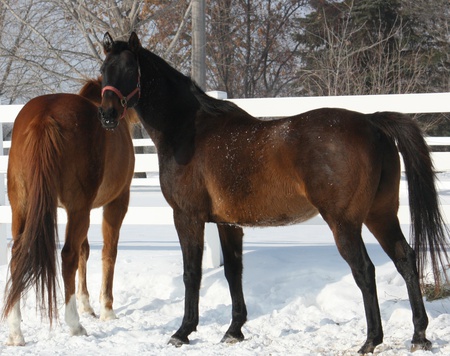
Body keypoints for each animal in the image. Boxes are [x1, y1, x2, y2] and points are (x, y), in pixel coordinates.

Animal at [2, 77, 136, 344]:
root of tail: (44, 116)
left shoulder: (81, 209)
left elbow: (86, 251)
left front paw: (87, 304)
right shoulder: (115, 202)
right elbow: (108, 252)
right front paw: (107, 309)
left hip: (22, 205)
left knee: (18, 255)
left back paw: (15, 330)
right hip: (79, 209)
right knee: (68, 256)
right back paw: (74, 325)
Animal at [99, 32, 450, 354]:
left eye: (129, 69)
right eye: (104, 70)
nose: (107, 114)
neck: (188, 131)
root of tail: (371, 121)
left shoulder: (188, 217)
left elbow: (192, 273)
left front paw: (183, 331)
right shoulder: (228, 223)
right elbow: (233, 271)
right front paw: (234, 330)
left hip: (345, 223)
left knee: (365, 270)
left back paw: (371, 340)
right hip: (381, 214)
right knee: (406, 259)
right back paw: (419, 335)